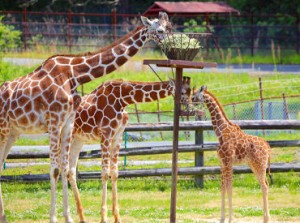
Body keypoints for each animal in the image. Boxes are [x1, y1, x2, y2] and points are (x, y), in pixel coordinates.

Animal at [67, 79, 177, 222]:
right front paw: (104, 217)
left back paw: (81, 216)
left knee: (70, 171)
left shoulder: (118, 135)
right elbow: (104, 173)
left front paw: (117, 217)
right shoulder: (106, 134)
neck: (123, 99)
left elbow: (114, 173)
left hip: (78, 139)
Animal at [192, 84, 272, 222]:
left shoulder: (228, 161)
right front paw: (222, 218)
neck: (220, 131)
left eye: (195, 95)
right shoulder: (222, 163)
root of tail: (267, 147)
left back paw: (266, 219)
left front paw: (230, 218)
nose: (189, 100)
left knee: (264, 186)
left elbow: (229, 188)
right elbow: (223, 188)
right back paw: (265, 218)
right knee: (265, 184)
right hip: (253, 165)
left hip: (260, 164)